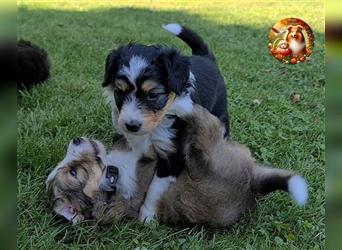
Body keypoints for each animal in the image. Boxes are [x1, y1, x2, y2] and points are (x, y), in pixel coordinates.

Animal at [46, 104, 310, 228]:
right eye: (73, 172)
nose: (76, 140)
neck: (112, 176)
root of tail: (251, 188)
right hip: (207, 155)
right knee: (208, 125)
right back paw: (185, 108)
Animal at [101, 23, 230, 223]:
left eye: (153, 95)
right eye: (119, 92)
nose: (131, 125)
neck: (155, 127)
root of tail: (205, 56)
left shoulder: (173, 155)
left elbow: (155, 188)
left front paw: (147, 216)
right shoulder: (129, 141)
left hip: (220, 112)